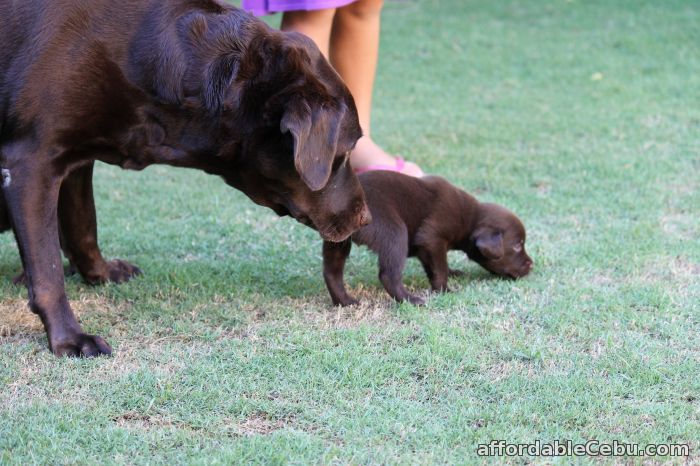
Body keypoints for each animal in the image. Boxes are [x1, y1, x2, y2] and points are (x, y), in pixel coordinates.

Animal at [0, 0, 370, 356]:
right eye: (345, 153)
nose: (365, 218)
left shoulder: (77, 158)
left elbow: (83, 225)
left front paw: (99, 273)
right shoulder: (31, 160)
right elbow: (48, 270)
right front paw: (69, 338)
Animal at [322, 171, 532, 306]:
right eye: (517, 245)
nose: (531, 265)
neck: (470, 218)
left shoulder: (426, 247)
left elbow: (436, 266)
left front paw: (453, 273)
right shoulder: (432, 238)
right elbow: (439, 268)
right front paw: (445, 290)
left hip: (337, 239)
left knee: (332, 272)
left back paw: (345, 301)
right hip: (393, 231)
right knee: (388, 275)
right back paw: (411, 300)